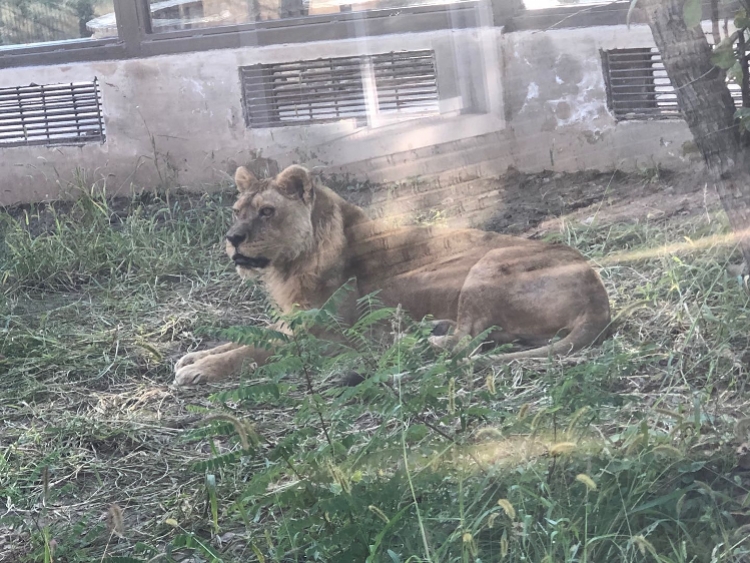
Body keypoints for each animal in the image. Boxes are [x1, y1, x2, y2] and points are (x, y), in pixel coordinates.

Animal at [173, 162, 612, 384]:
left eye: (267, 211)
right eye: (236, 211)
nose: (232, 239)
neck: (291, 265)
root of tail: (599, 300)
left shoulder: (326, 339)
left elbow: (254, 349)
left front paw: (198, 370)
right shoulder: (293, 323)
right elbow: (248, 336)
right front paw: (195, 355)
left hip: (487, 264)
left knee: (466, 343)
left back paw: (413, 339)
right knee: (481, 338)